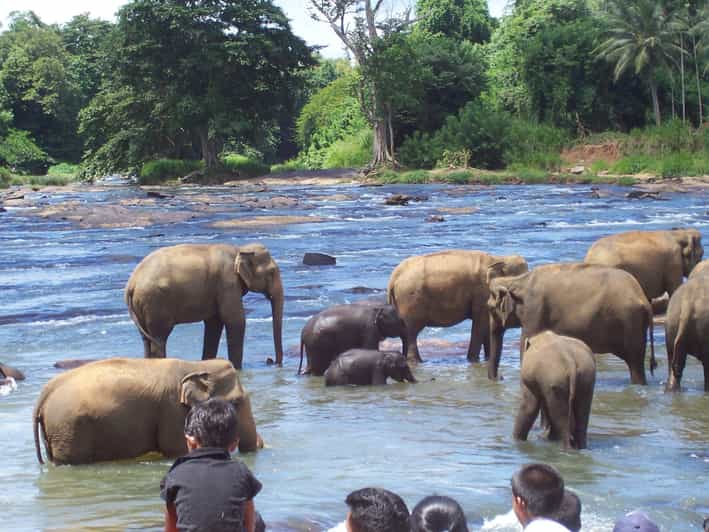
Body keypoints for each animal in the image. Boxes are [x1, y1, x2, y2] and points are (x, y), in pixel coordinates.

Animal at [33, 358, 263, 465]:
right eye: (236, 402)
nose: (261, 444)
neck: (195, 365)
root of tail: (45, 393)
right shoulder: (172, 409)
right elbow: (176, 448)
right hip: (68, 429)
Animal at [125, 243, 283, 369]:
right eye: (271, 272)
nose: (271, 361)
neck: (239, 249)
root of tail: (132, 283)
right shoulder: (228, 283)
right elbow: (235, 320)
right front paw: (237, 369)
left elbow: (214, 324)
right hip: (155, 302)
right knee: (159, 338)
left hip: (141, 306)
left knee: (146, 339)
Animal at [386, 250, 528, 363]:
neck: (499, 259)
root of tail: (393, 277)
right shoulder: (482, 294)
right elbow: (480, 324)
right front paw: (473, 360)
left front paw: (487, 359)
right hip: (410, 300)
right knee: (411, 333)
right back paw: (417, 361)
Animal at [487, 262, 655, 385]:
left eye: (490, 308)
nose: (500, 377)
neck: (517, 280)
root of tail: (644, 298)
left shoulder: (534, 313)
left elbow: (526, 345)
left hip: (631, 321)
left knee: (635, 363)